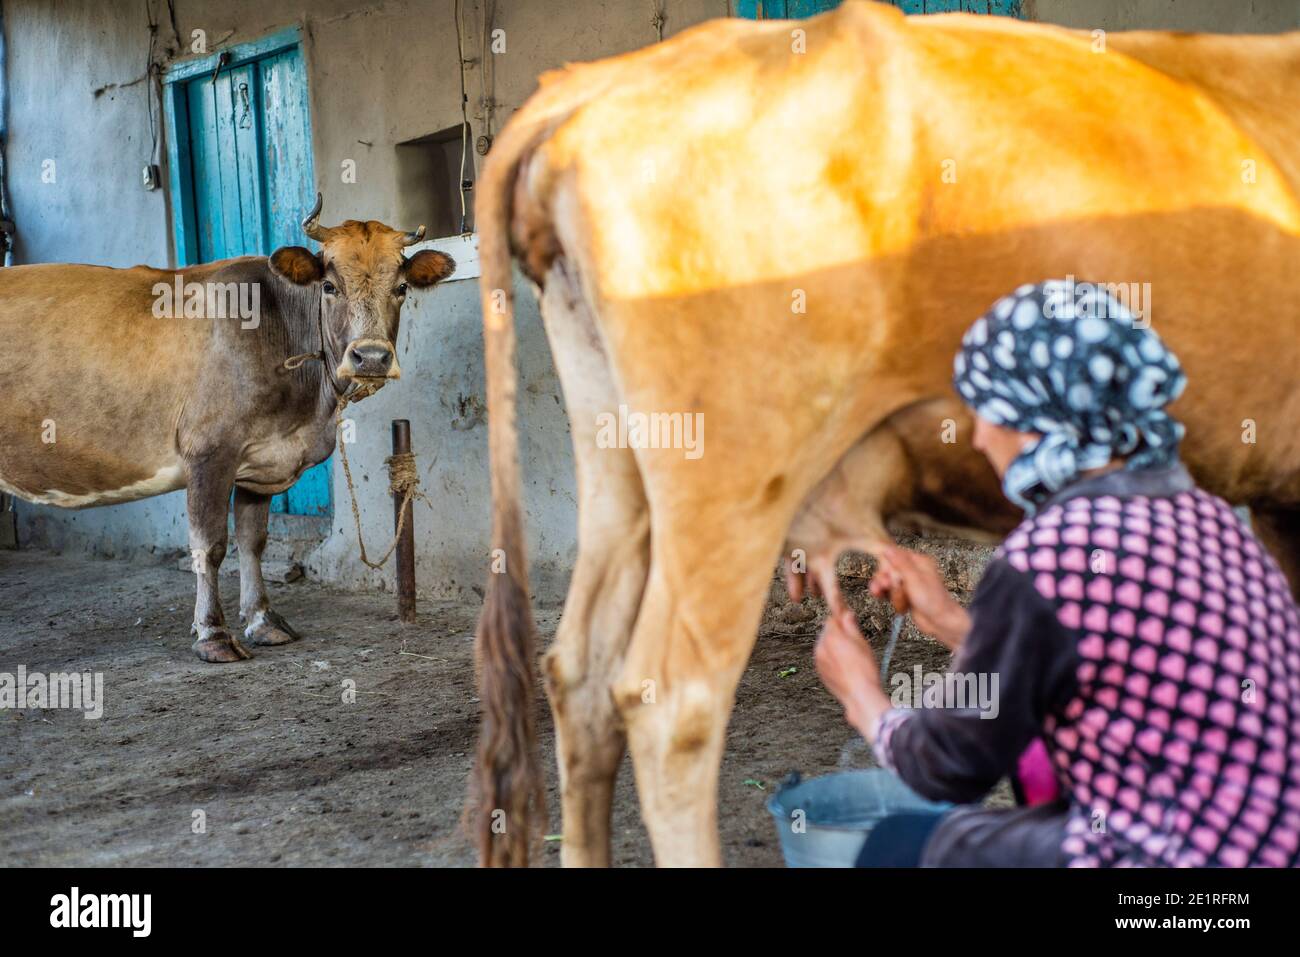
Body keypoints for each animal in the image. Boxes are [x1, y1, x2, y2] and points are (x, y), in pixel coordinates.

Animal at [0, 195, 457, 657]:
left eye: (401, 289)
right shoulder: (209, 451)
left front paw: (263, 621)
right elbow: (211, 546)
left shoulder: (264, 459)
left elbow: (253, 541)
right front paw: (213, 634)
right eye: (329, 287)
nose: (371, 357)